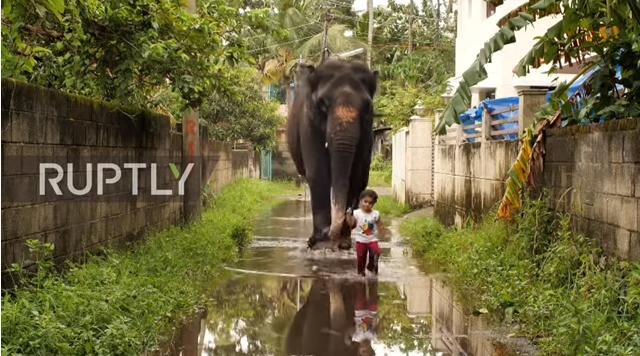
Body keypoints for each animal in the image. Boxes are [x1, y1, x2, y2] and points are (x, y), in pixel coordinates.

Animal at [286, 59, 380, 250]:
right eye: (323, 104)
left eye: (367, 106)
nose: (349, 214)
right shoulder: (309, 124)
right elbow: (318, 173)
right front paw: (319, 243)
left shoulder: (367, 131)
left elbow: (357, 176)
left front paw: (343, 243)